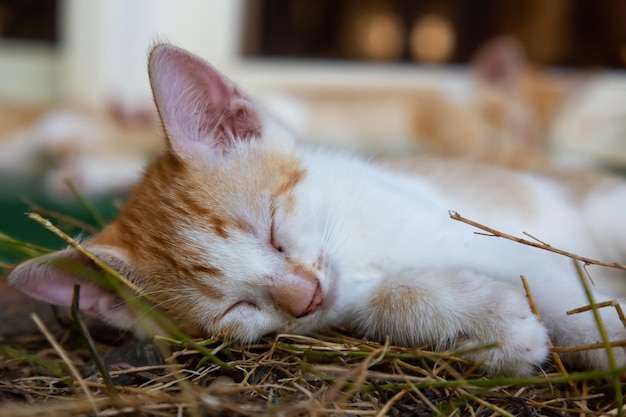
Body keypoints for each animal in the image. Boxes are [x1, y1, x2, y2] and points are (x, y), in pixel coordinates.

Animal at [8, 44, 624, 376]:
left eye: (273, 230)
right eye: (235, 309)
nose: (303, 296)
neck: (357, 253)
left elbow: (568, 287)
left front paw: (608, 336)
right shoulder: (349, 301)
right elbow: (396, 298)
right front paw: (499, 330)